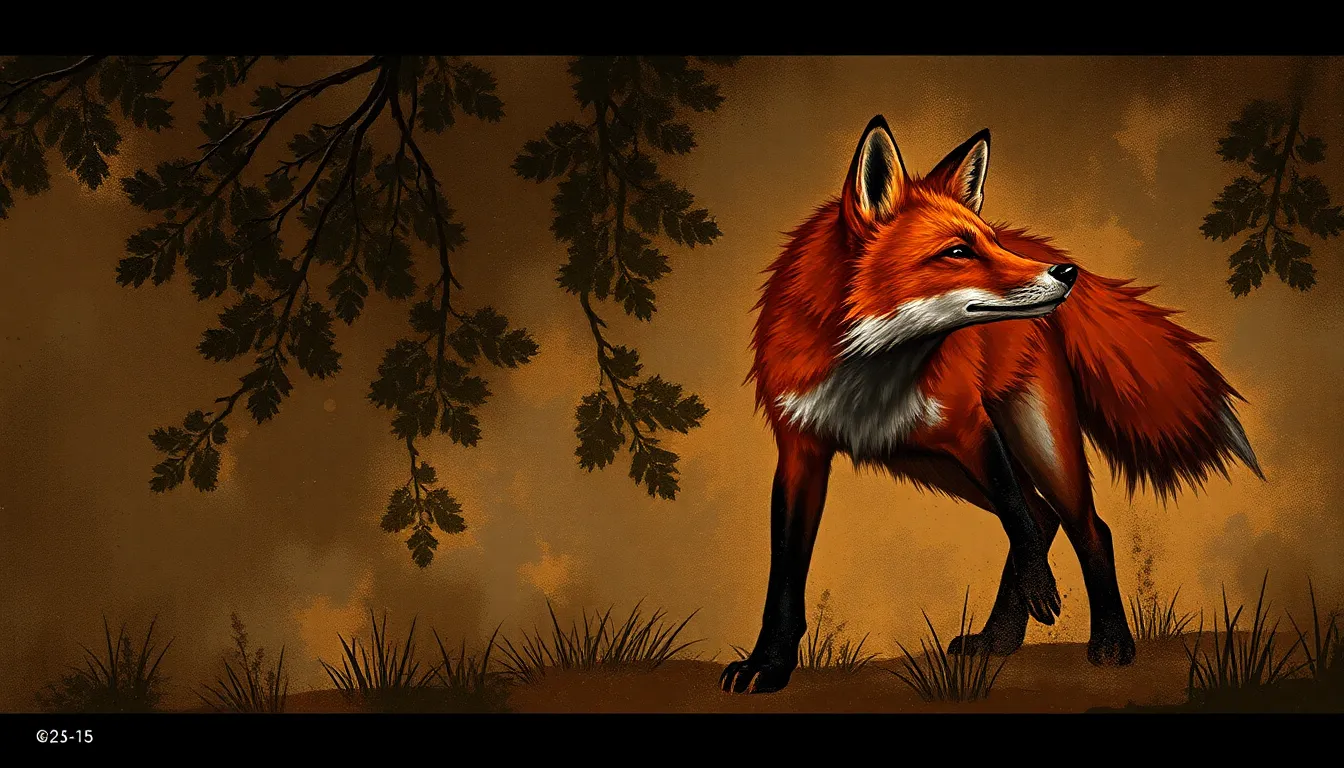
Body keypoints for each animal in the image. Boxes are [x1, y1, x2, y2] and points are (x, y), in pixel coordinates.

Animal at [721, 115, 1266, 695]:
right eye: (958, 251)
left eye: (990, 243)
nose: (1065, 273)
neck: (869, 368)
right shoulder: (800, 450)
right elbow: (784, 576)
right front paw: (768, 664)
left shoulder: (972, 428)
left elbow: (1017, 516)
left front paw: (1047, 594)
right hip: (926, 461)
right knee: (1045, 515)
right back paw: (999, 641)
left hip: (1032, 440)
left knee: (1085, 526)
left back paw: (1111, 643)